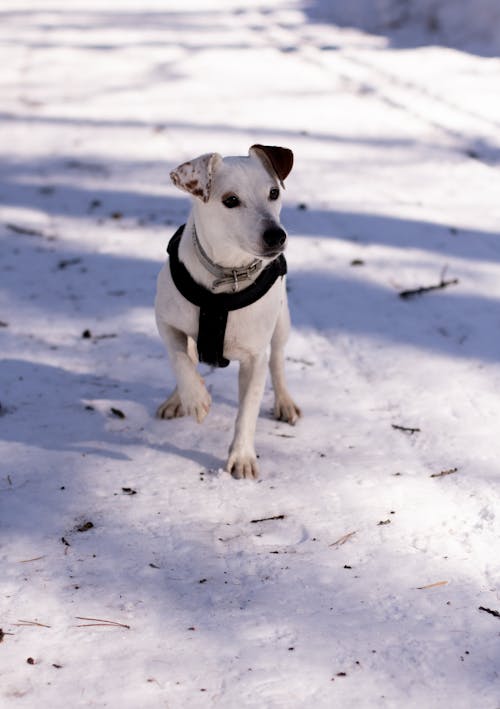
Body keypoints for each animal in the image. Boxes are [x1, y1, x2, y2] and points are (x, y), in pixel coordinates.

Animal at [154, 144, 298, 478]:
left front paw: (242, 457)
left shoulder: (254, 358)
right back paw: (177, 399)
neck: (227, 274)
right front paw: (194, 399)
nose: (276, 235)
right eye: (231, 200)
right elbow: (179, 359)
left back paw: (284, 401)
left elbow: (247, 411)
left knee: (278, 360)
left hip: (282, 323)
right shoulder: (165, 321)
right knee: (190, 356)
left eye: (274, 192)